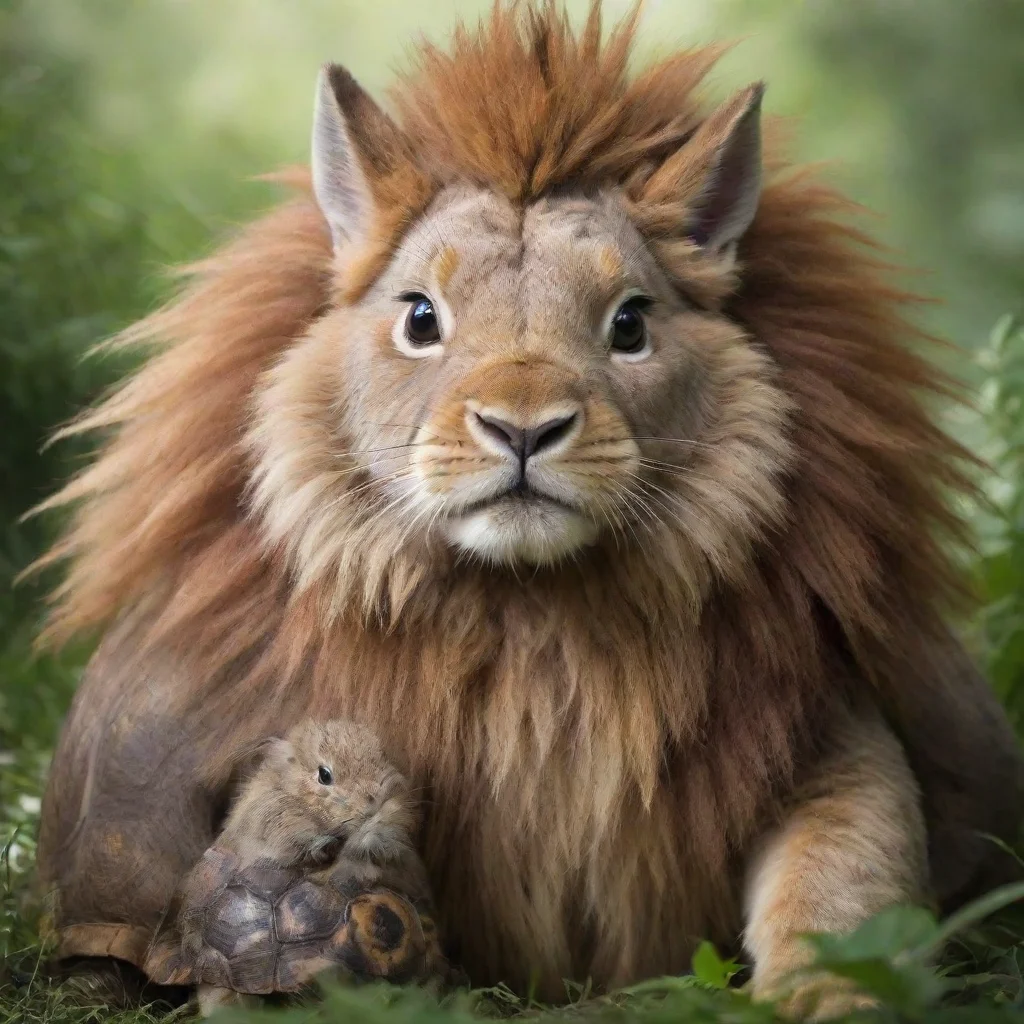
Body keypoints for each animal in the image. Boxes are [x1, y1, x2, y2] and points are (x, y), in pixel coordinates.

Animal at [31, 2, 1023, 1018]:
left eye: (629, 324)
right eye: (420, 318)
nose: (522, 427)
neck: (535, 633)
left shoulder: (829, 736)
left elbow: (842, 894)